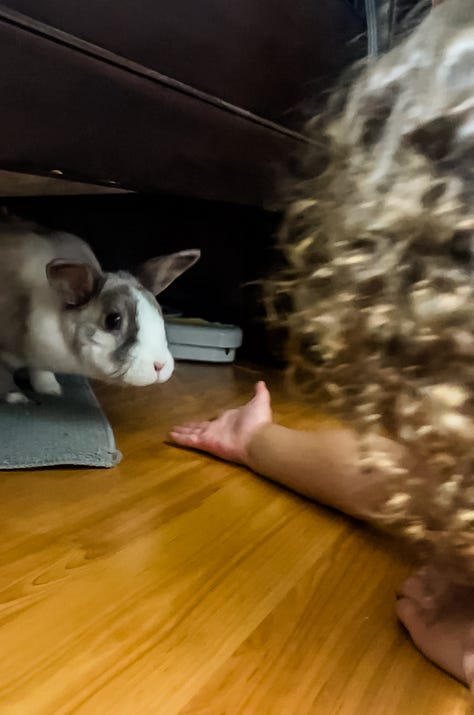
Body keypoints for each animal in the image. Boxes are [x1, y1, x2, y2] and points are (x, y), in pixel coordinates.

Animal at [0, 215, 200, 402]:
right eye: (113, 320)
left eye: (159, 311)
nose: (160, 365)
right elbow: (5, 377)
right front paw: (16, 397)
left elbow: (40, 370)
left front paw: (50, 390)